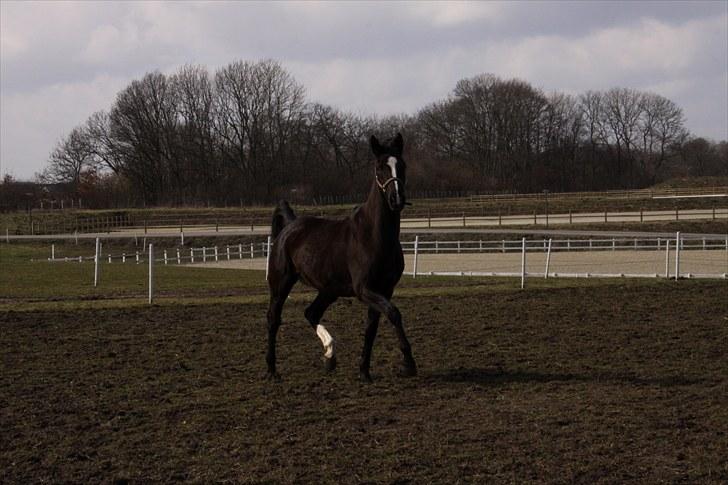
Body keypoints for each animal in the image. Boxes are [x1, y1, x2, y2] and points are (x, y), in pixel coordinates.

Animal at [266, 132, 416, 382]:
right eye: (380, 167)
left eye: (402, 165)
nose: (397, 199)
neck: (374, 236)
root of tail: (290, 225)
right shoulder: (364, 289)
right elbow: (394, 313)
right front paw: (408, 364)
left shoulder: (384, 290)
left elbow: (371, 329)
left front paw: (364, 371)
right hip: (281, 284)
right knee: (273, 319)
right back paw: (271, 370)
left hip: (329, 290)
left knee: (311, 313)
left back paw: (330, 356)